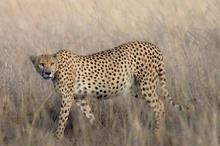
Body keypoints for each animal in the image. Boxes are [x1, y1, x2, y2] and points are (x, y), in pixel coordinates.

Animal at [30, 41, 183, 140]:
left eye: (52, 63)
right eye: (41, 64)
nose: (47, 73)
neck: (58, 67)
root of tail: (153, 45)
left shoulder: (67, 97)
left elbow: (62, 119)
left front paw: (57, 138)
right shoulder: (78, 97)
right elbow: (89, 114)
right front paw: (100, 131)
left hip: (145, 85)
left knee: (159, 105)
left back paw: (158, 133)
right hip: (135, 88)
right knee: (160, 102)